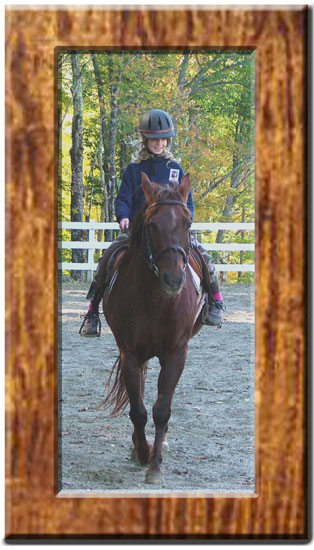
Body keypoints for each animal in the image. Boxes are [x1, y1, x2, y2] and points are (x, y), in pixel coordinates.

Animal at [102, 174, 206, 488]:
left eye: (187, 223)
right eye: (151, 225)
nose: (174, 279)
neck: (156, 299)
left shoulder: (175, 353)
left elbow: (162, 409)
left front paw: (156, 465)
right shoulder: (130, 354)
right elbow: (138, 409)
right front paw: (142, 451)